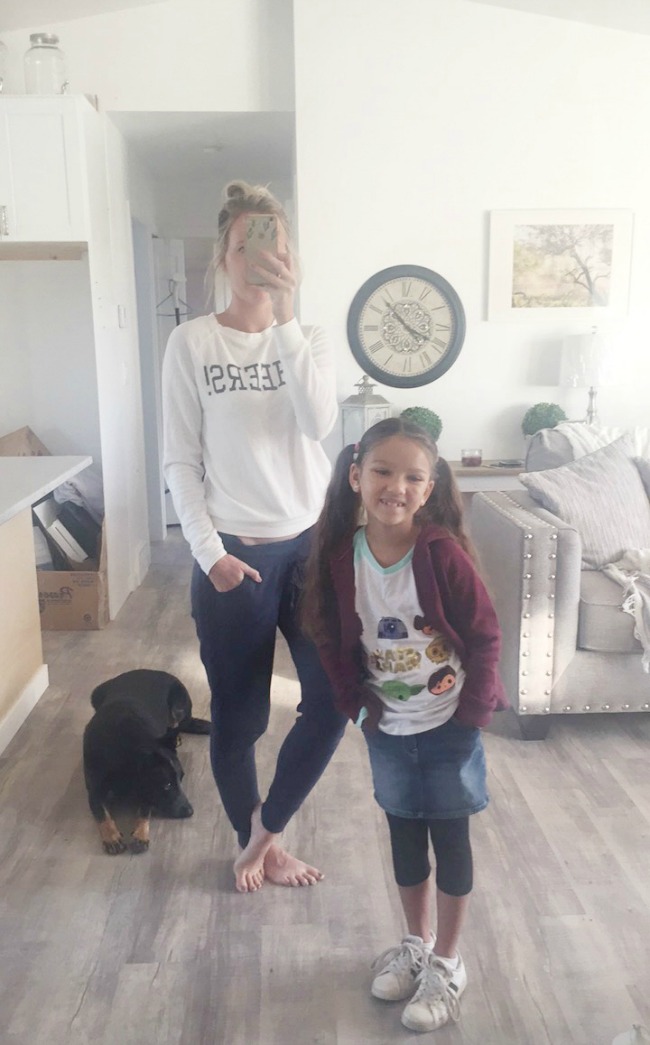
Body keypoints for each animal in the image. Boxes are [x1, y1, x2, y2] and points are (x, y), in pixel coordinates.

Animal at [83, 669, 210, 854]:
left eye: (181, 779)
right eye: (167, 785)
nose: (190, 812)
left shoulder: (147, 791)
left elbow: (144, 810)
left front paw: (140, 833)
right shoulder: (94, 791)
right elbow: (102, 813)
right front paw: (112, 836)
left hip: (178, 708)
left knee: (179, 725)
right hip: (95, 694)